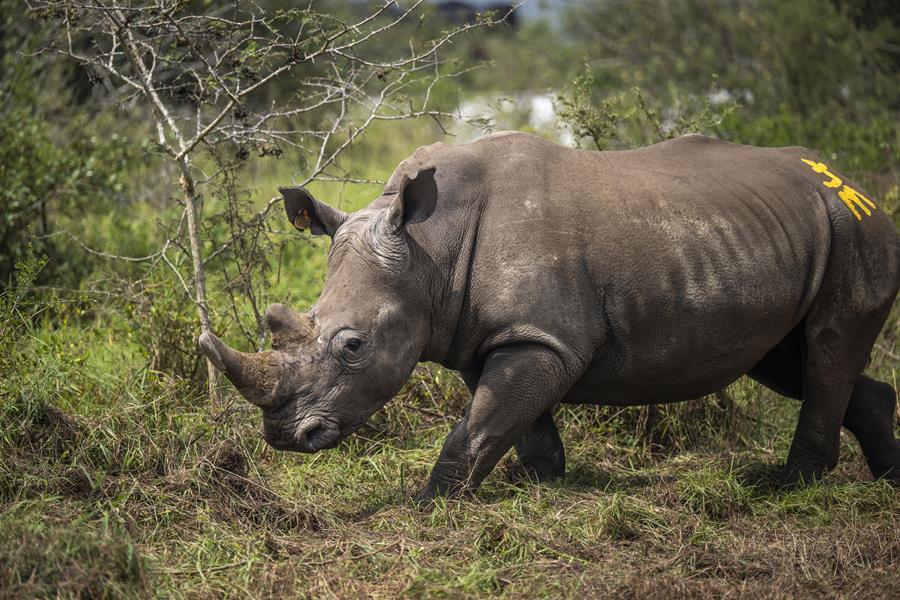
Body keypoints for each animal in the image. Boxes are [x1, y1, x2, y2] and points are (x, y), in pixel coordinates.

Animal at [198, 132, 900, 498]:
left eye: (353, 346)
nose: (286, 437)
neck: (429, 250)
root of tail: (855, 185)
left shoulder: (543, 339)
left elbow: (482, 422)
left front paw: (430, 504)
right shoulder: (497, 334)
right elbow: (514, 418)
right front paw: (542, 482)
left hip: (852, 230)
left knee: (827, 347)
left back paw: (788, 487)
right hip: (781, 235)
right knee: (785, 358)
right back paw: (887, 479)